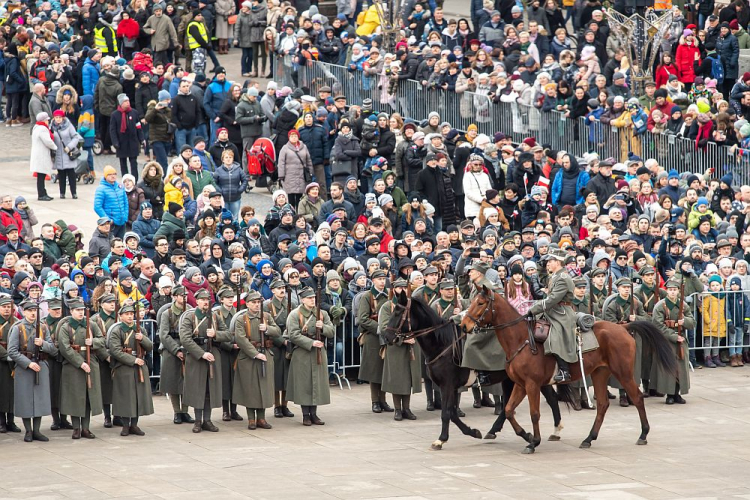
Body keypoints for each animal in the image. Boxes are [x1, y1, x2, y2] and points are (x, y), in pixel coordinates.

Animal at [388, 292, 564, 454]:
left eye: (397, 312)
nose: (386, 335)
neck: (443, 343)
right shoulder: (451, 387)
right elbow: (452, 412)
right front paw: (473, 432)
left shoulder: (447, 385)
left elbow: (446, 412)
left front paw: (441, 439)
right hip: (515, 380)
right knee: (515, 405)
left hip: (527, 380)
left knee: (548, 399)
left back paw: (549, 431)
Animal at [462, 286, 680, 454]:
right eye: (472, 301)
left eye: (480, 303)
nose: (464, 325)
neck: (520, 339)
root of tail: (623, 328)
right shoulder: (520, 384)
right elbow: (508, 410)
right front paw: (526, 435)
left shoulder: (532, 384)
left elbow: (534, 413)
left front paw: (533, 442)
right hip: (600, 373)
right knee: (602, 404)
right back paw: (589, 438)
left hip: (623, 373)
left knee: (637, 397)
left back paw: (643, 433)